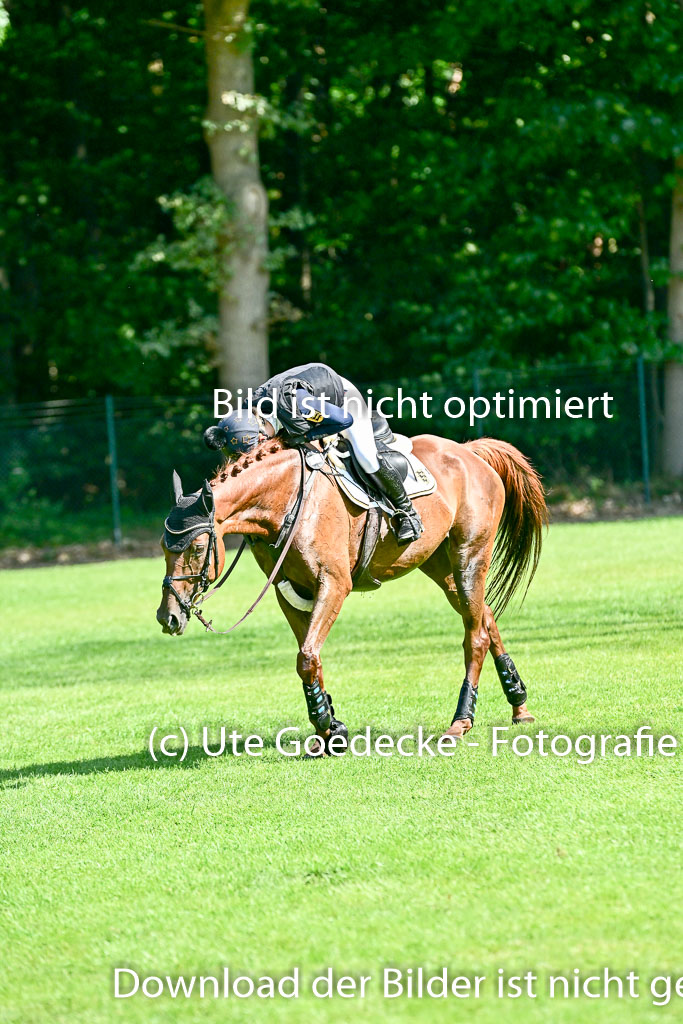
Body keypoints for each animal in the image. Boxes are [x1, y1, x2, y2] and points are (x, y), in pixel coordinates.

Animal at [157, 434, 547, 747]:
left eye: (195, 548)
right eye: (162, 548)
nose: (167, 617)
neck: (285, 501)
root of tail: (469, 451)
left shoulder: (333, 584)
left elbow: (307, 657)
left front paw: (327, 725)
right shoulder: (291, 593)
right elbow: (312, 659)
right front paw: (329, 728)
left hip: (469, 555)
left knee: (474, 636)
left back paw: (461, 722)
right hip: (439, 565)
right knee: (485, 618)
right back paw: (519, 703)